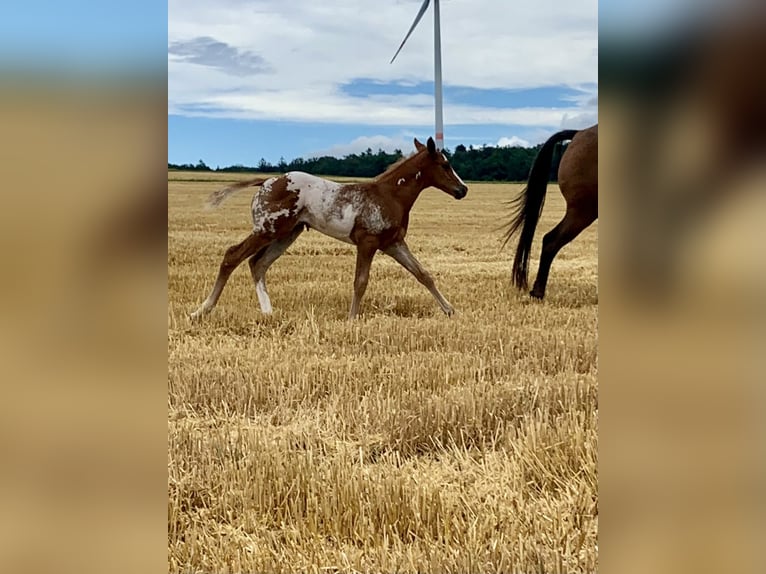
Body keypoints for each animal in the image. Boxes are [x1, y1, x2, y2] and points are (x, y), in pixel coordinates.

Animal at [190, 137, 468, 322]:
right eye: (445, 165)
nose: (463, 189)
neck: (389, 195)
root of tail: (267, 181)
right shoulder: (368, 242)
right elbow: (360, 281)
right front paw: (352, 319)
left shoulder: (393, 243)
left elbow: (423, 274)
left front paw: (450, 310)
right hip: (267, 229)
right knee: (232, 255)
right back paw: (202, 310)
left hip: (287, 234)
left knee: (258, 263)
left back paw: (268, 313)